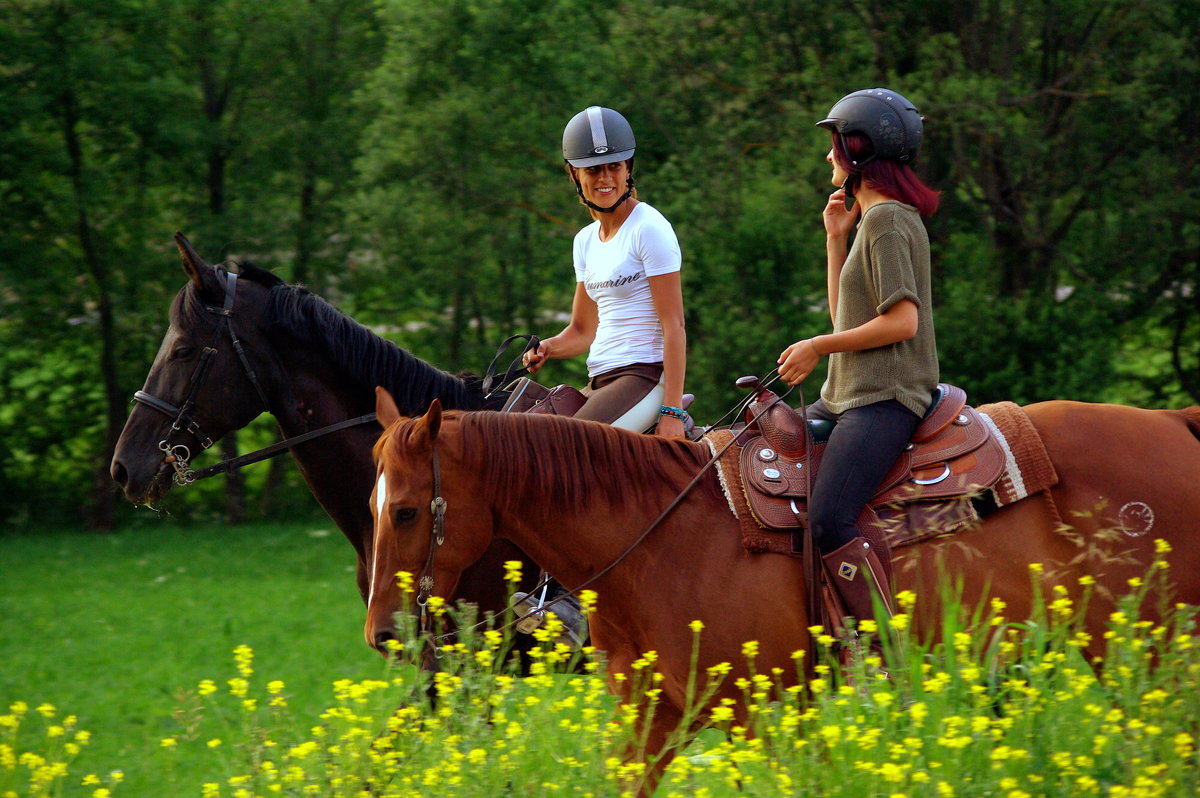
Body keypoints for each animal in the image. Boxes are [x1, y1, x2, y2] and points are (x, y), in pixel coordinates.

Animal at [364, 388, 1200, 787]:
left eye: (404, 509)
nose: (383, 634)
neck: (657, 535)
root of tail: (1175, 421)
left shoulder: (766, 714)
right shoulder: (654, 718)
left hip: (1151, 650)